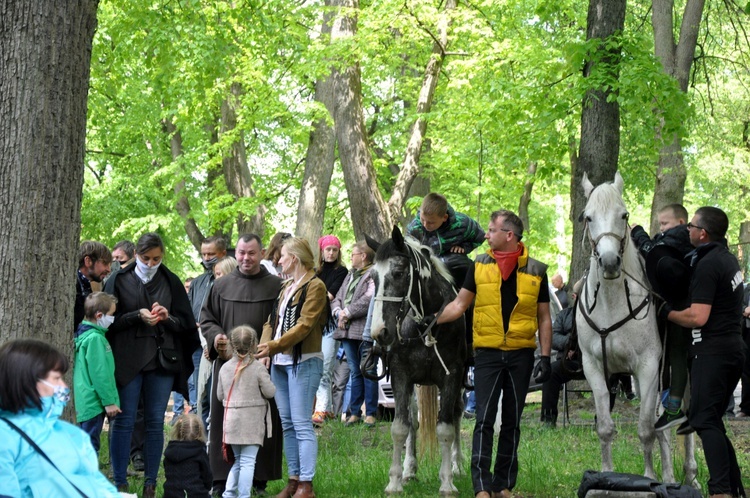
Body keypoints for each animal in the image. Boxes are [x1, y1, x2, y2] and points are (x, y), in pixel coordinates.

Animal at [580, 172, 700, 486]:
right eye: (588, 217)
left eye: (624, 215)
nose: (610, 262)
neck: (612, 302)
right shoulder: (594, 368)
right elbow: (606, 427)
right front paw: (606, 474)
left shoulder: (647, 368)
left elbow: (646, 430)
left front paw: (648, 477)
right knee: (664, 427)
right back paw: (669, 476)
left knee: (684, 420)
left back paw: (690, 474)